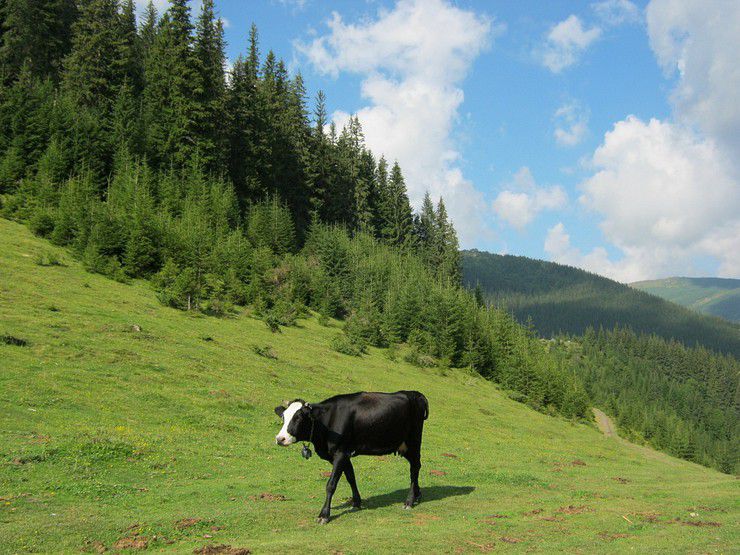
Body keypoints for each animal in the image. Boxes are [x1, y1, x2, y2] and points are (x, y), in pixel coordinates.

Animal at [276, 390, 428, 524]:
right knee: (415, 467)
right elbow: (350, 477)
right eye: (283, 417)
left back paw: (409, 501)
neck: (327, 423)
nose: (280, 439)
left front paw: (324, 515)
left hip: (413, 441)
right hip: (404, 446)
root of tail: (415, 394)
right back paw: (417, 495)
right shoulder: (343, 454)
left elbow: (331, 484)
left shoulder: (340, 452)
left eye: (299, 418)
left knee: (414, 468)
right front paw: (356, 502)